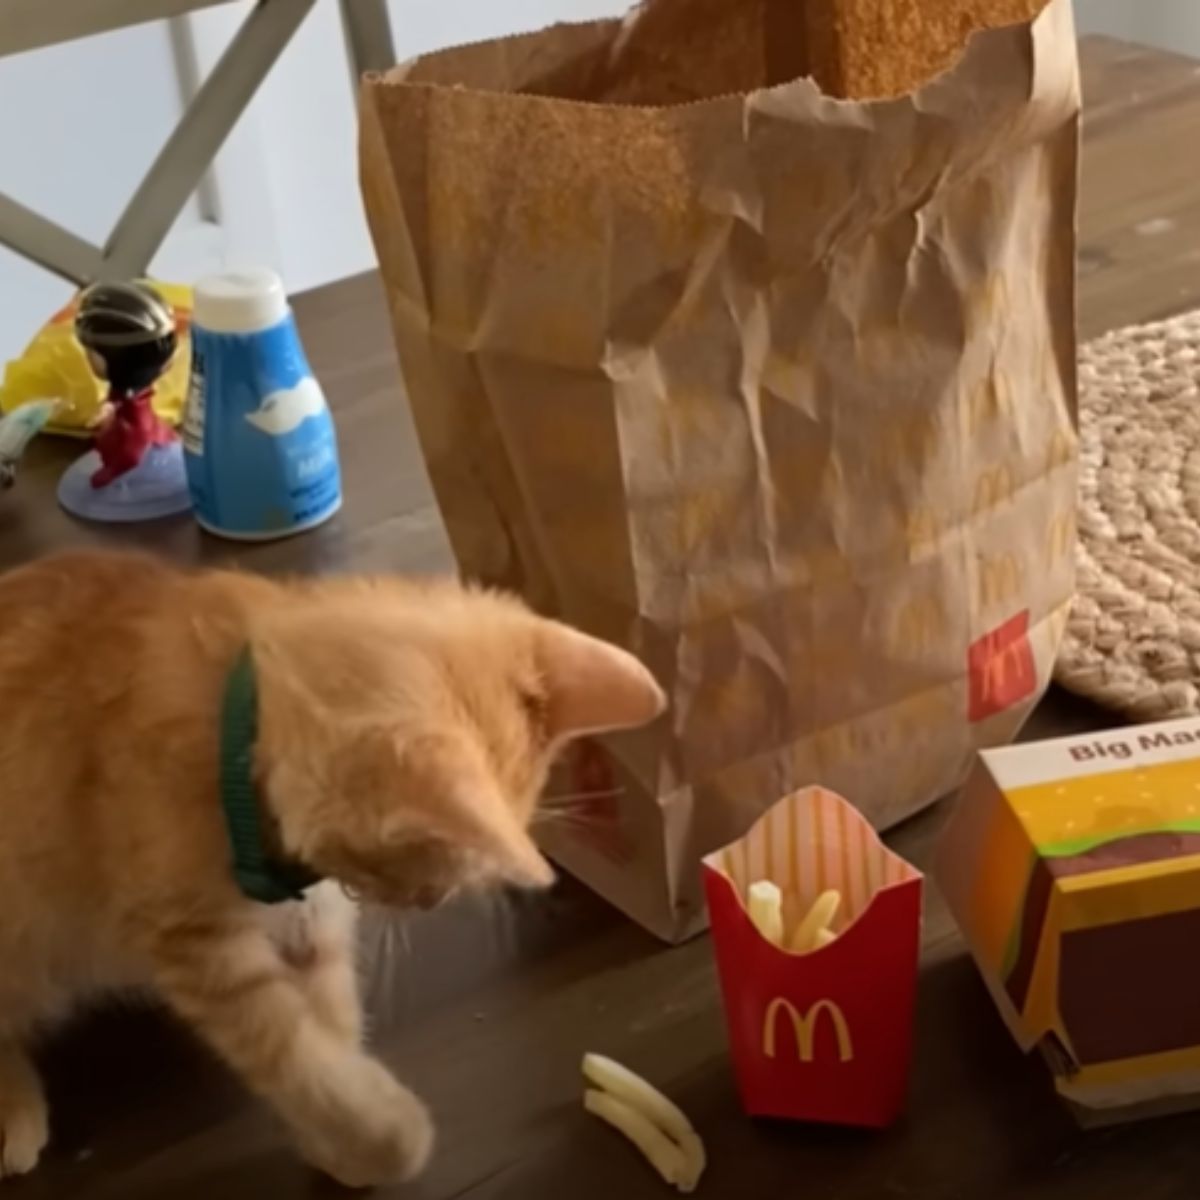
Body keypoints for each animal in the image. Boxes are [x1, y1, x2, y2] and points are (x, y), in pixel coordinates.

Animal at [0, 549, 667, 1180]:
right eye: (426, 865)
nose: (429, 903)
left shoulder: (313, 926)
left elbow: (331, 1029)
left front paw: (339, 1142)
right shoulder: (202, 946)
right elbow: (292, 1052)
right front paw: (386, 1135)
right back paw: (15, 1113)